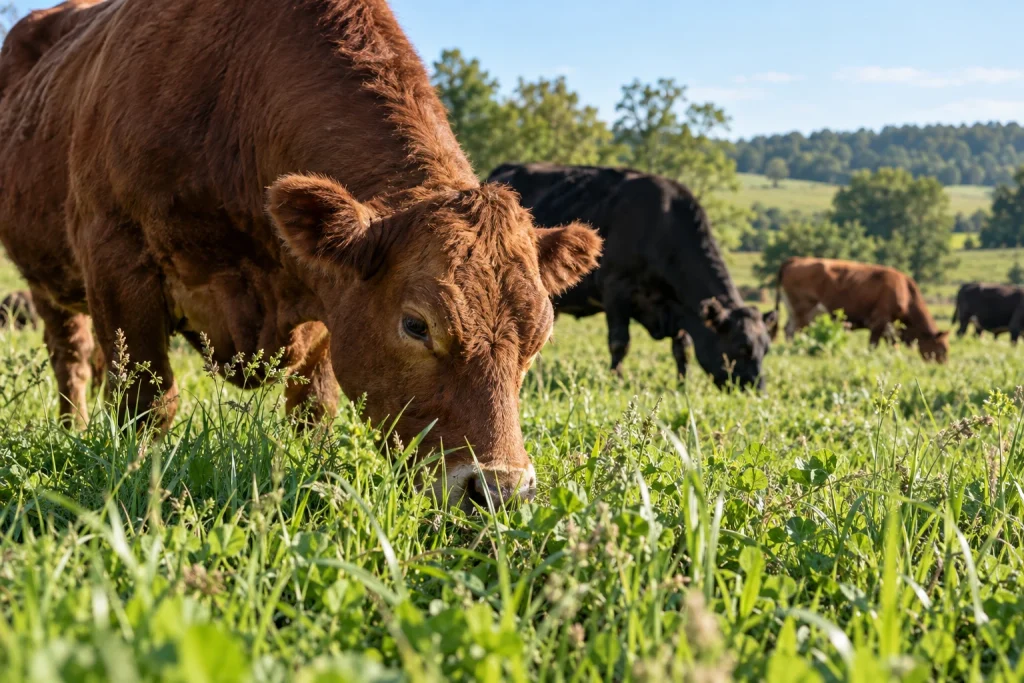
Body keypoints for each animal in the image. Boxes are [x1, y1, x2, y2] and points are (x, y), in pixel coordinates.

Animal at [0, 0, 602, 509]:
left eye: (539, 337)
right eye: (416, 325)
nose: (500, 489)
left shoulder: (323, 307)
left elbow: (313, 412)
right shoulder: (117, 262)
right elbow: (147, 404)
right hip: (49, 283)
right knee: (72, 360)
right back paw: (74, 430)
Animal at [487, 163, 776, 390]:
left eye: (766, 349)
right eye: (741, 347)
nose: (757, 389)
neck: (663, 226)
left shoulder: (678, 307)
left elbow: (682, 348)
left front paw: (682, 384)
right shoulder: (616, 290)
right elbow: (620, 343)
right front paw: (616, 380)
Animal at [775, 257, 949, 362]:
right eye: (942, 349)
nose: (943, 365)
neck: (905, 292)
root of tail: (795, 260)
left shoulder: (891, 328)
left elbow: (894, 346)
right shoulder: (879, 322)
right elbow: (873, 345)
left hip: (793, 312)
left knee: (788, 329)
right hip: (802, 312)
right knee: (796, 332)